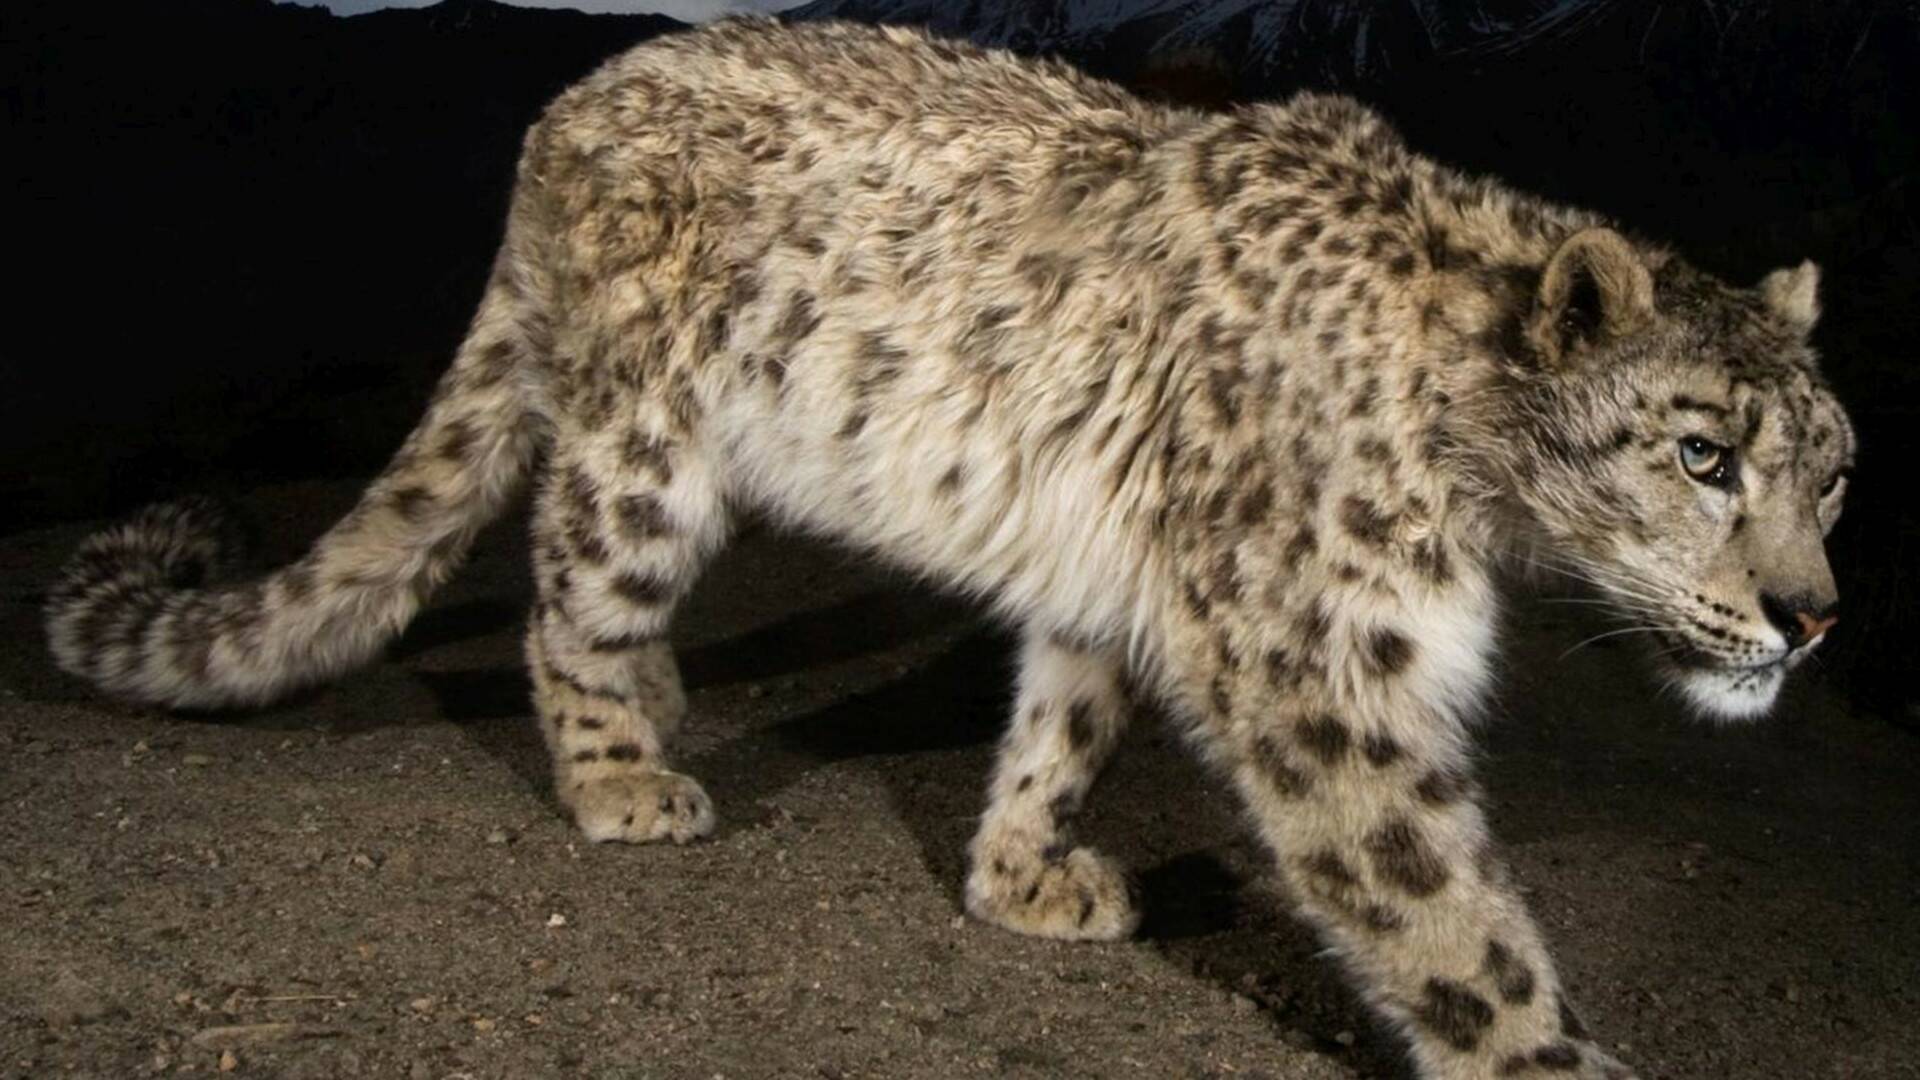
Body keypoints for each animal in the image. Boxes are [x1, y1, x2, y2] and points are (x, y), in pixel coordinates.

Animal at [45, 17, 1853, 1079]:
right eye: (1703, 454)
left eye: (1836, 474)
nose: (1815, 620)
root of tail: (564, 104)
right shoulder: (1323, 671)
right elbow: (1449, 918)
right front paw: (1554, 1059)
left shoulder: (1117, 580)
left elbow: (1066, 718)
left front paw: (1021, 873)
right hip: (647, 459)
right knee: (564, 592)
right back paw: (624, 774)